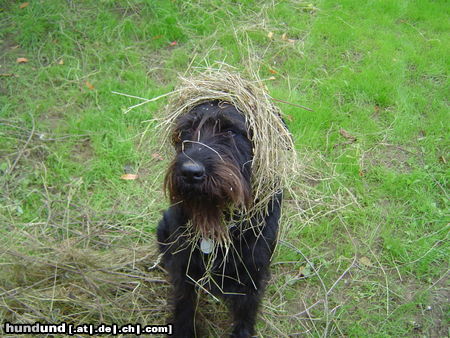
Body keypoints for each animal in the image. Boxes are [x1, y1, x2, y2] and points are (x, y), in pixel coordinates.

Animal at [156, 99, 282, 336]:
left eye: (230, 131)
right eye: (186, 130)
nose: (190, 172)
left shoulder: (253, 273)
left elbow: (245, 316)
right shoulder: (185, 268)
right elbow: (184, 306)